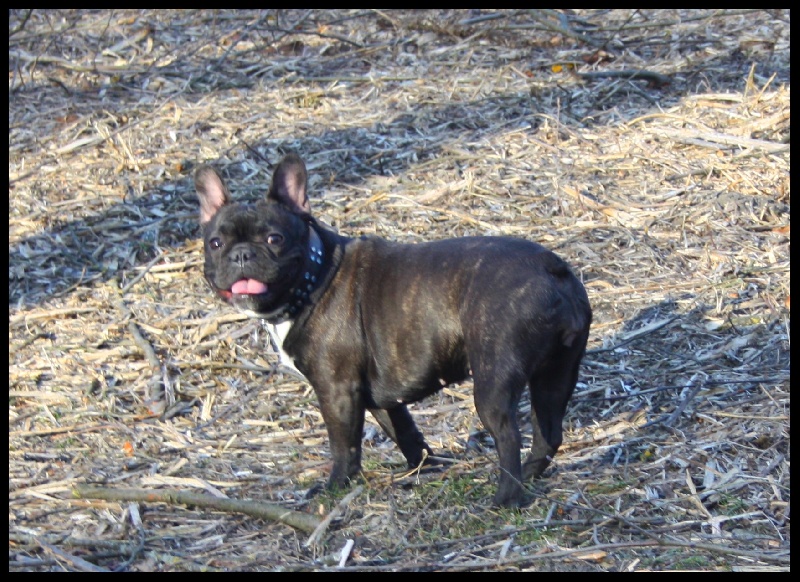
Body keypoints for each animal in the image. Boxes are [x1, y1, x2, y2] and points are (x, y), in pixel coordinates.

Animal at [196, 155, 592, 506]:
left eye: (274, 239)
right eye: (215, 243)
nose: (241, 254)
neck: (314, 273)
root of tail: (552, 268)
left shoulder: (337, 390)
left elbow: (344, 445)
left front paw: (335, 487)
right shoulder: (379, 397)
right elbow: (404, 432)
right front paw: (424, 467)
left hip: (494, 378)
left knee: (508, 436)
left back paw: (505, 499)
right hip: (556, 372)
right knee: (548, 431)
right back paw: (530, 476)